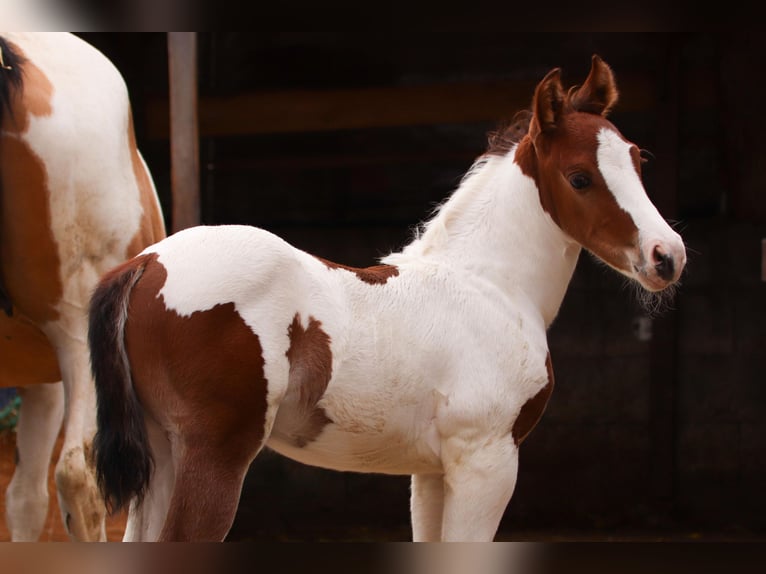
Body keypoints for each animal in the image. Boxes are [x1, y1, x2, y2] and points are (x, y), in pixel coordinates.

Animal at [89, 55, 686, 542]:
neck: (489, 285)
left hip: (162, 453)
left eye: (637, 160)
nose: (667, 257)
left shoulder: (433, 472)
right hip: (214, 452)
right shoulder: (487, 460)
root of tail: (146, 264)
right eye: (580, 177)